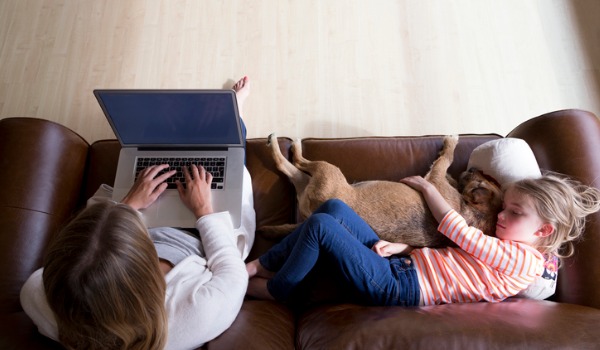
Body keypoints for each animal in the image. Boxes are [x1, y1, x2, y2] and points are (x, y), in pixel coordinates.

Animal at [262, 133, 502, 247]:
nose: (472, 169)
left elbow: (446, 159)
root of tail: (313, 213)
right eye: (490, 178)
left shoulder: (434, 180)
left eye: (484, 180)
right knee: (290, 166)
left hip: (327, 171)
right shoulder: (438, 179)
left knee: (292, 162)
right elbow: (445, 165)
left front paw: (449, 143)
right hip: (312, 179)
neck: (471, 212)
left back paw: (284, 143)